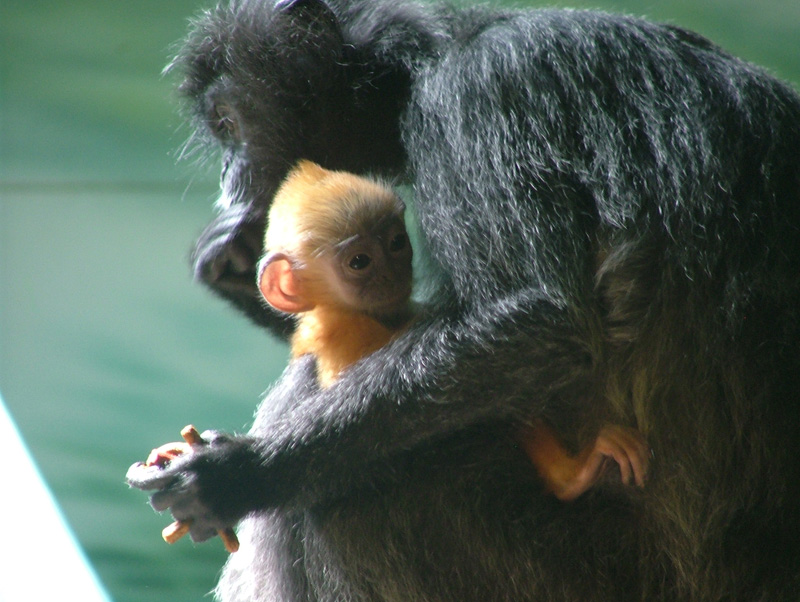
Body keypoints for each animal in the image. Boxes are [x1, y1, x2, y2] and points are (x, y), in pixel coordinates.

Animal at [127, 1, 800, 600]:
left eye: (228, 123)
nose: (230, 175)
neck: (437, 52)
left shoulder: (479, 94)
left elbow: (540, 320)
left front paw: (241, 473)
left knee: (331, 503)